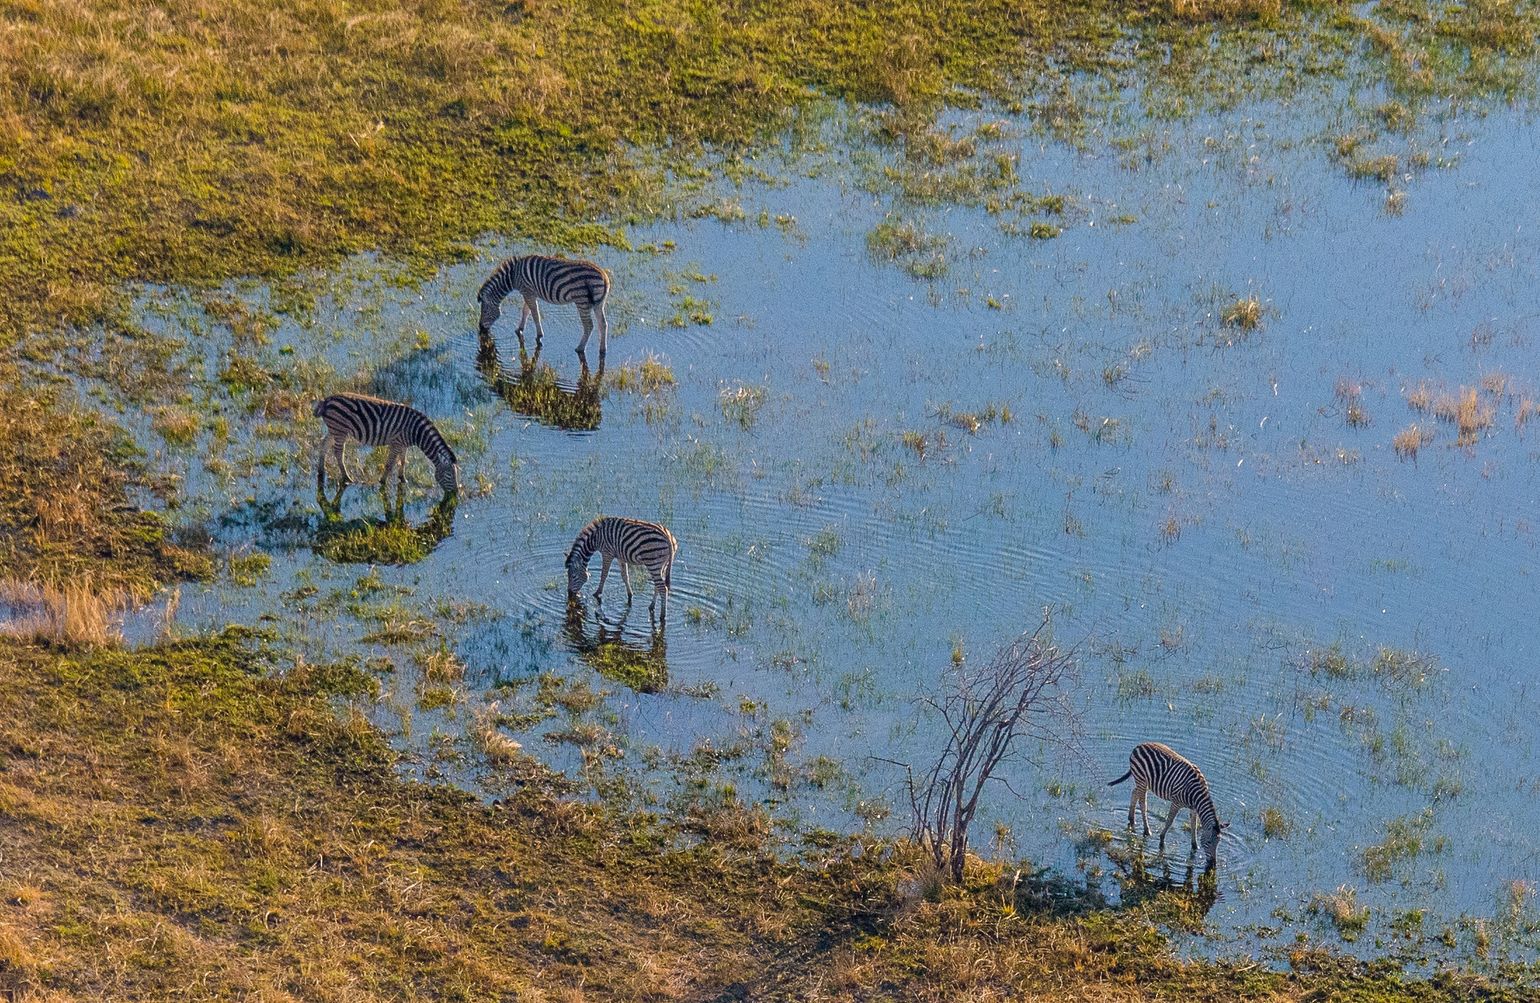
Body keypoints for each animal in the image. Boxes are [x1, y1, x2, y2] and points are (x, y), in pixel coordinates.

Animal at [313, 392, 459, 497]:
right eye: (450, 475)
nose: (456, 493)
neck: (416, 432)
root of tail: (327, 400)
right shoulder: (397, 443)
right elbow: (389, 464)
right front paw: (382, 481)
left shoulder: (403, 445)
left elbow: (403, 461)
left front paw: (403, 478)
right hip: (340, 430)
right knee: (338, 452)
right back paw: (347, 477)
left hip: (334, 430)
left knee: (323, 444)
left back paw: (321, 471)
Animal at [477, 255, 611, 358]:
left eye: (485, 311)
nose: (480, 329)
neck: (513, 275)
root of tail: (604, 277)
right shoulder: (530, 292)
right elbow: (526, 311)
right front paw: (519, 328)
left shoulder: (527, 291)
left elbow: (534, 314)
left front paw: (539, 335)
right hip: (599, 303)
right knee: (603, 324)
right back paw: (603, 349)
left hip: (582, 301)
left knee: (589, 325)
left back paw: (580, 348)